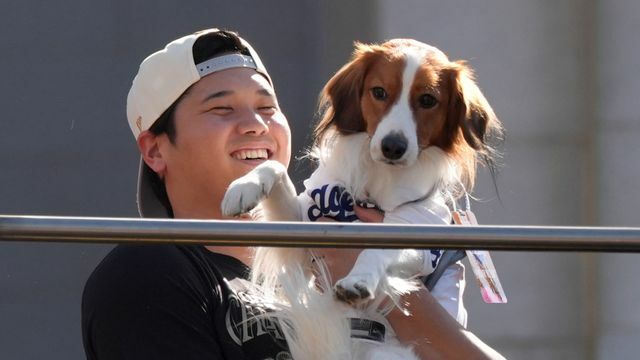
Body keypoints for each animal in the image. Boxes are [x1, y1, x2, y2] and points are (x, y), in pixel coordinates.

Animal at [222, 39, 502, 360]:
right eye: (378, 92)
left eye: (428, 100)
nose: (393, 146)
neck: (381, 181)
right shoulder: (304, 235)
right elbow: (274, 166)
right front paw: (244, 186)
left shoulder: (418, 234)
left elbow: (377, 249)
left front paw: (359, 280)